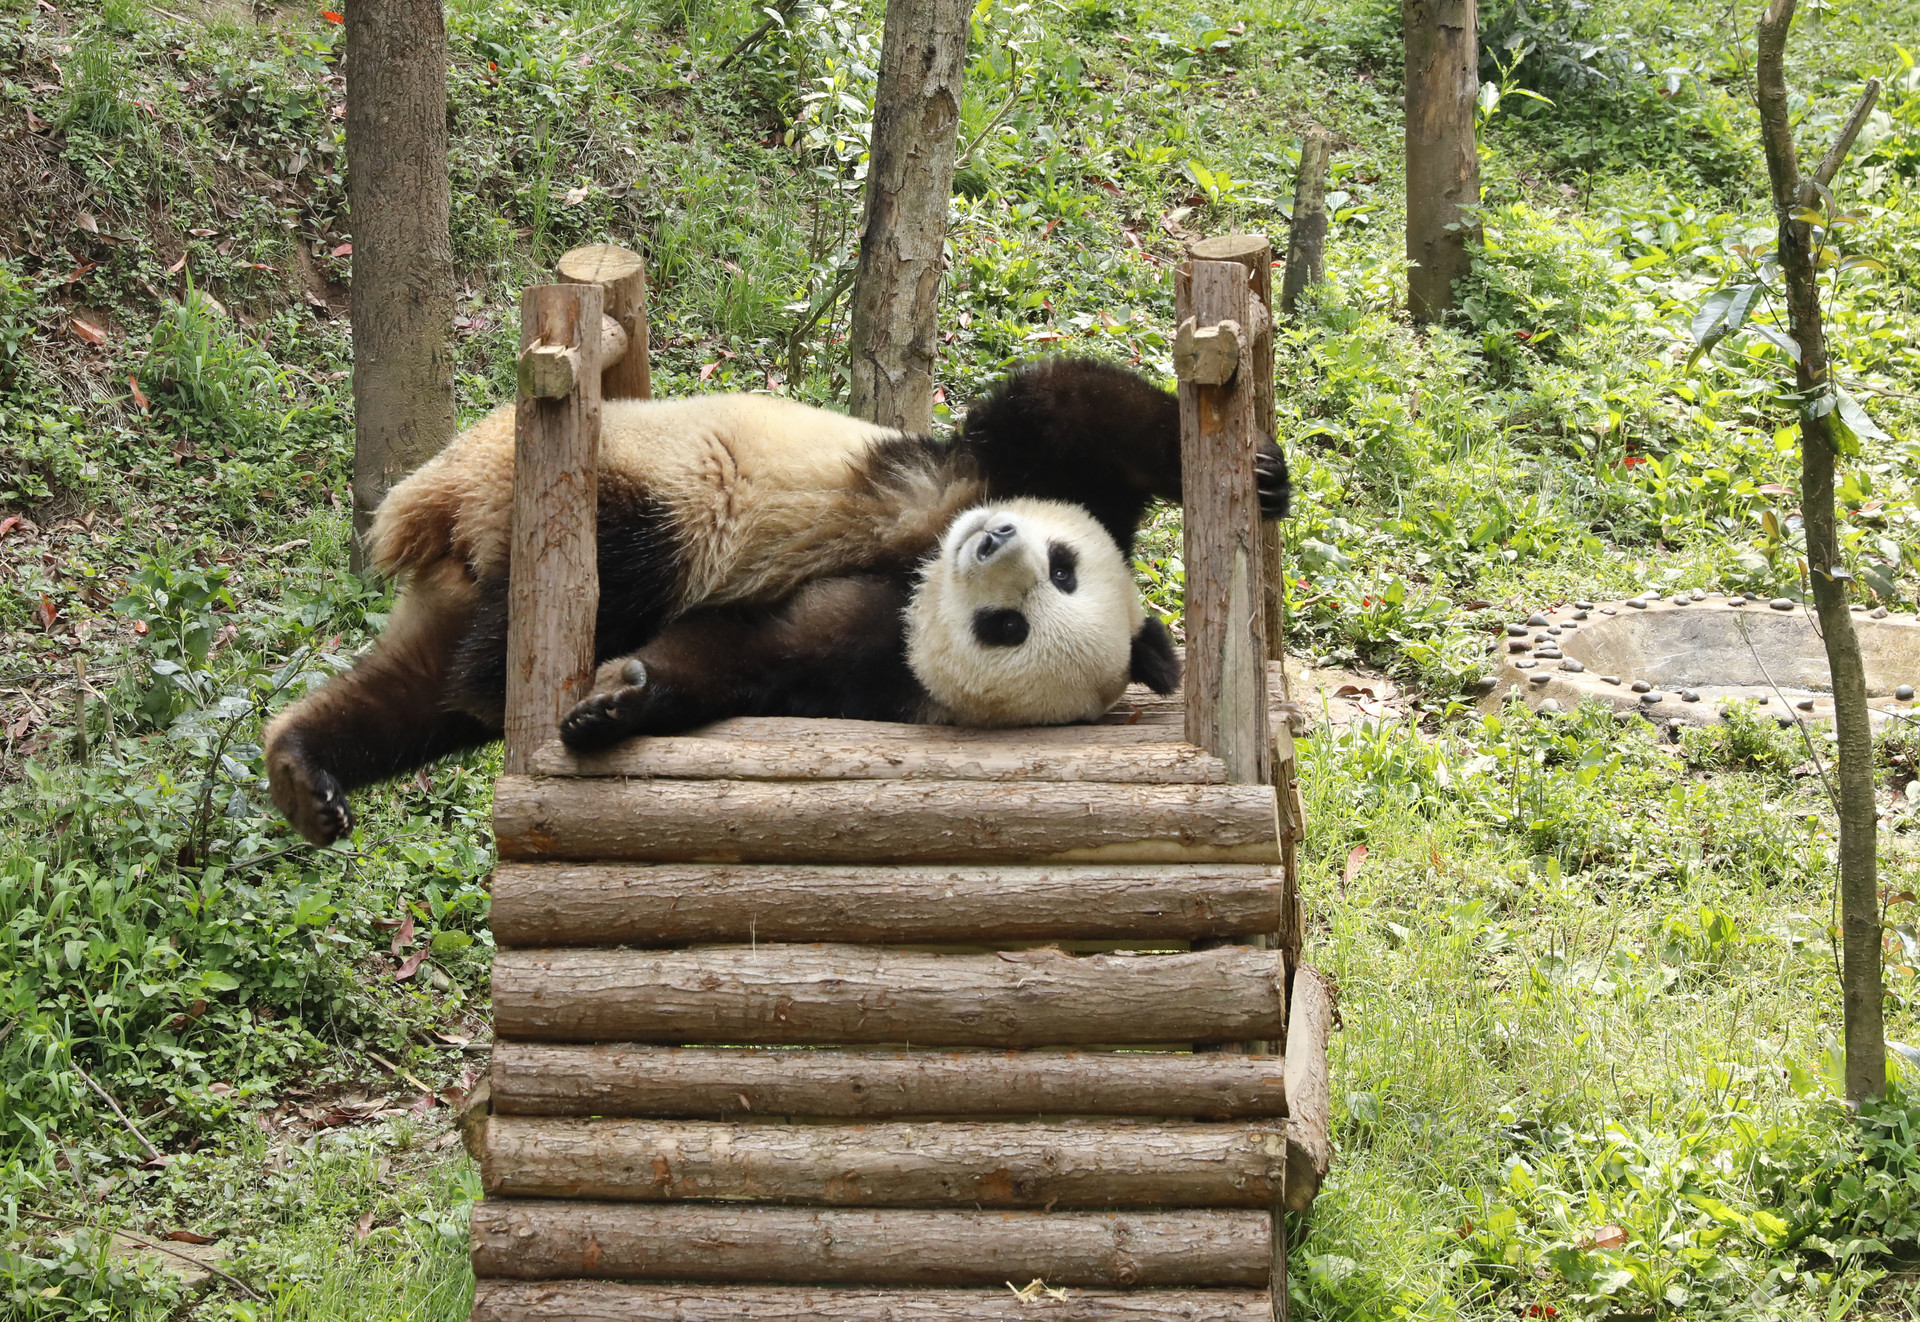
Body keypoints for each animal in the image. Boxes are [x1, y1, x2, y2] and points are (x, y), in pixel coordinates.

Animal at [264, 358, 1291, 846]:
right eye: (1064, 568)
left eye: (1010, 628)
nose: (994, 544)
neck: (919, 578)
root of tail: (438, 513)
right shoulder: (996, 473)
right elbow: (1067, 408)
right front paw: (1257, 469)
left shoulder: (863, 651)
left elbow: (743, 651)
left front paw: (618, 703)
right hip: (612, 473)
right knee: (644, 545)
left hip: (476, 574)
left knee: (422, 693)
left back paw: (308, 770)